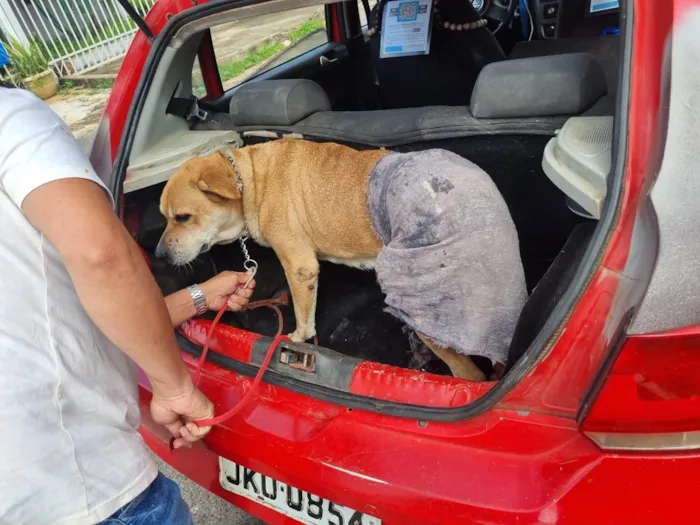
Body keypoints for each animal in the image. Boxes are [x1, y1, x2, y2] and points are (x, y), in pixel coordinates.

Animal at [157, 139, 486, 380]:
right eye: (164, 216)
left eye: (182, 217)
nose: (158, 255)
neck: (250, 180)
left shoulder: (300, 268)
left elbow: (304, 321)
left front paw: (296, 338)